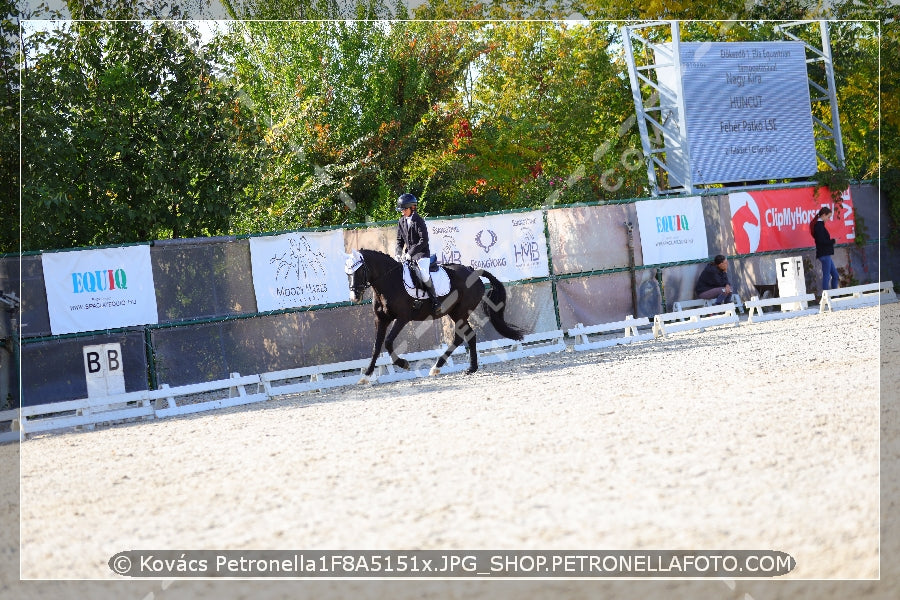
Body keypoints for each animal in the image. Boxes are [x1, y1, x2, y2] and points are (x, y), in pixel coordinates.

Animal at [346, 247, 528, 380]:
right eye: (347, 273)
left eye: (360, 271)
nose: (355, 297)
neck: (389, 282)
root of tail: (472, 271)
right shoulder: (381, 319)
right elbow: (377, 346)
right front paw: (366, 376)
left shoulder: (403, 318)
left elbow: (389, 342)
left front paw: (403, 364)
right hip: (455, 313)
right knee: (465, 336)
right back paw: (463, 368)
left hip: (460, 312)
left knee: (464, 336)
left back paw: (445, 367)